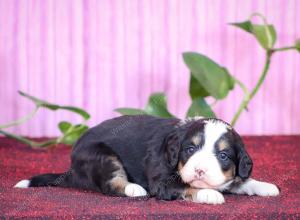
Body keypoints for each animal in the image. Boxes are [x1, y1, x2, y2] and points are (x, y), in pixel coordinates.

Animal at [15, 115, 280, 205]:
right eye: (190, 149)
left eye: (223, 155)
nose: (199, 170)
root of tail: (71, 169)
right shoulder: (163, 181)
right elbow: (186, 186)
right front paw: (209, 194)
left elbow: (242, 180)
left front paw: (266, 186)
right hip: (101, 156)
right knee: (111, 183)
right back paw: (134, 188)